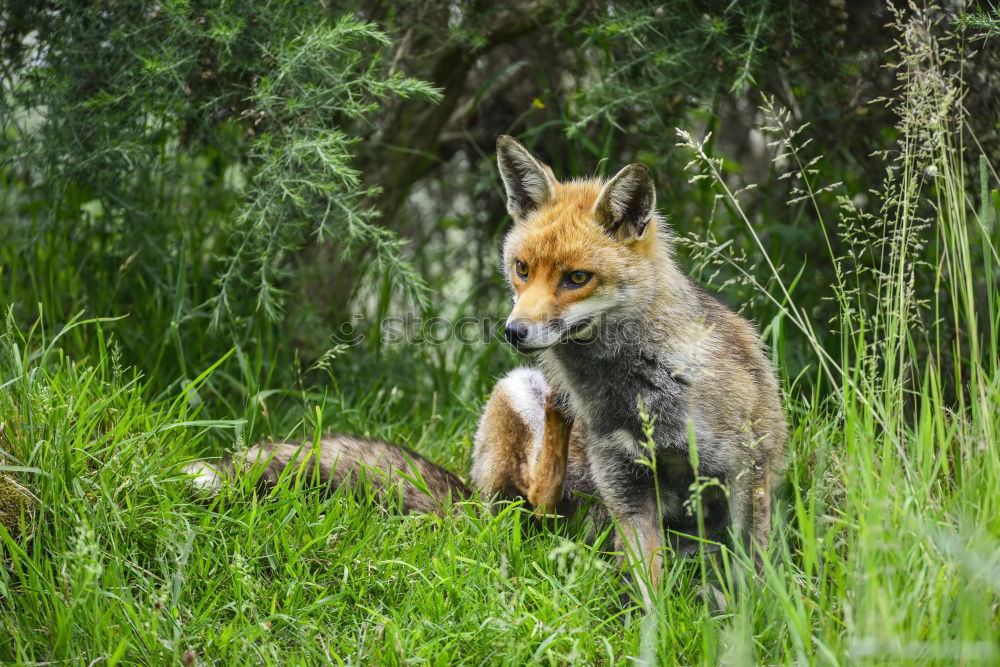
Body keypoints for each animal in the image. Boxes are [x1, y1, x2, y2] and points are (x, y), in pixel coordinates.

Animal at [182, 134, 788, 612]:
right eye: (522, 269)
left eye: (576, 278)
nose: (514, 332)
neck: (640, 393)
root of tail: (471, 504)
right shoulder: (628, 492)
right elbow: (646, 590)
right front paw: (649, 633)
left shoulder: (744, 475)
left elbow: (752, 576)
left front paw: (748, 627)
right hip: (514, 403)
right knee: (537, 500)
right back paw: (558, 420)